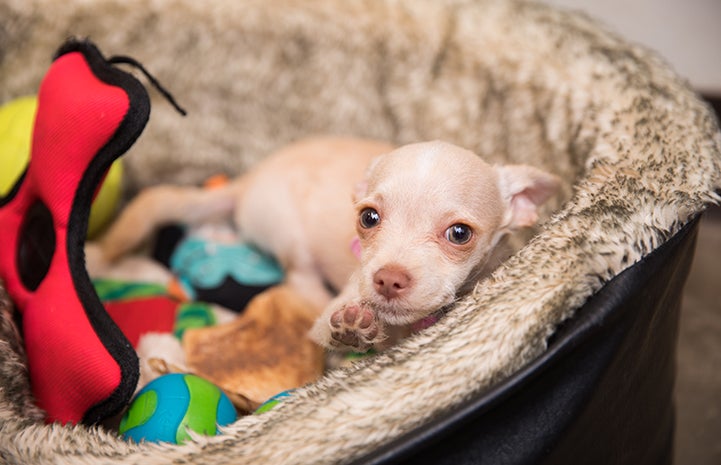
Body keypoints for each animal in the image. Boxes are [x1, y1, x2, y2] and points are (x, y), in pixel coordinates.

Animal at [97, 138, 556, 352]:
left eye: (459, 233)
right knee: (298, 279)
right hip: (289, 235)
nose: (388, 280)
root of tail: (247, 181)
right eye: (368, 218)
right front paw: (354, 328)